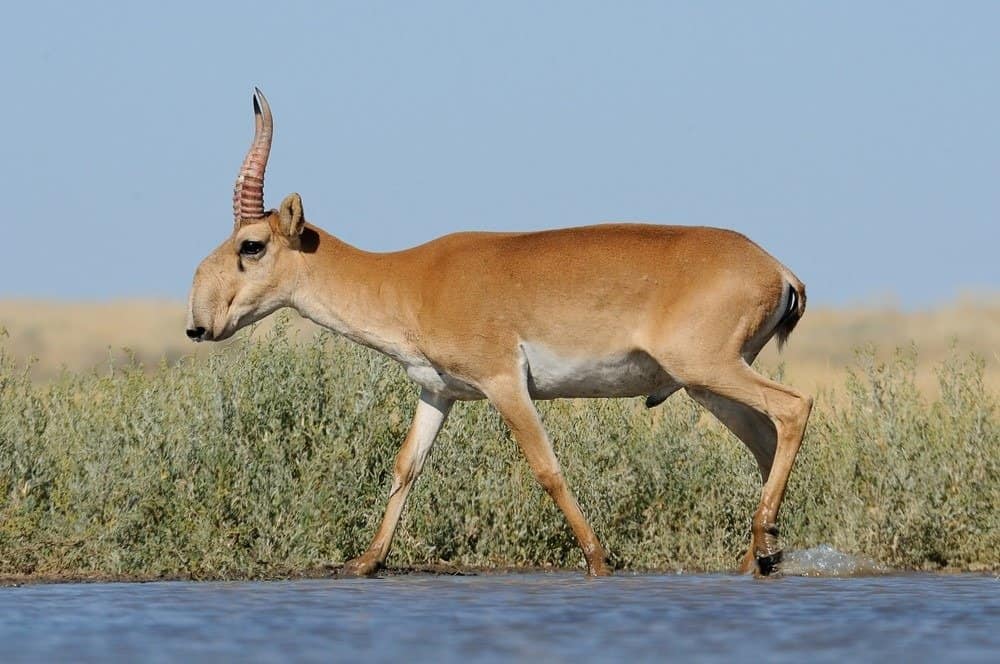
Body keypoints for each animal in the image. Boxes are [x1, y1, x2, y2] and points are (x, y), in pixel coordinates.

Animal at [187, 88, 813, 577]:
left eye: (251, 245)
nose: (199, 324)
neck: (411, 279)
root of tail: (777, 268)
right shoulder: (436, 392)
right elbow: (406, 465)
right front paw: (365, 561)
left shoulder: (504, 384)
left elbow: (546, 467)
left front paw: (597, 560)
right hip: (707, 387)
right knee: (765, 440)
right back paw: (756, 558)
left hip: (710, 370)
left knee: (794, 408)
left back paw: (762, 548)